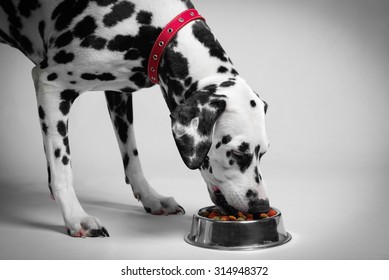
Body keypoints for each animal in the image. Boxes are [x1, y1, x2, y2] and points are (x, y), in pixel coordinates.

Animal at [0, 0, 270, 237]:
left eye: (264, 153)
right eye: (236, 153)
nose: (262, 206)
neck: (154, 26)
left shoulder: (118, 93)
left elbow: (132, 156)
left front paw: (151, 197)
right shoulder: (51, 85)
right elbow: (62, 167)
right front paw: (76, 217)